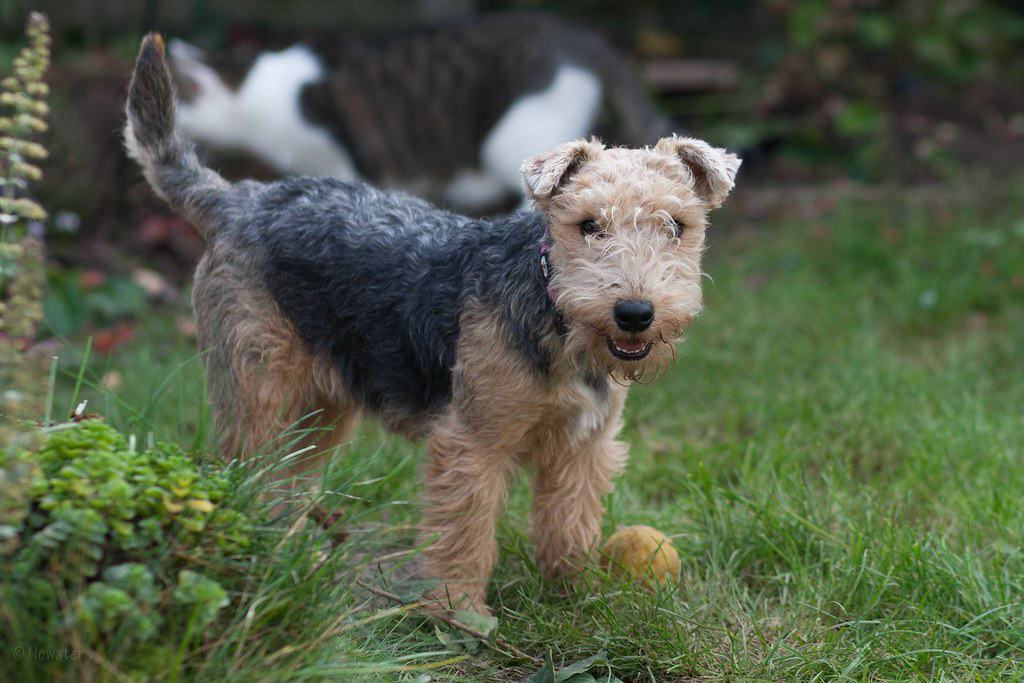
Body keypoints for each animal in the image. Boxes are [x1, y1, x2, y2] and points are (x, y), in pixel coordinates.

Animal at [125, 34, 737, 618]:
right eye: (588, 225)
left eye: (677, 225)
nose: (634, 313)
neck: (553, 314)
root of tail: (237, 199)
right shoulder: (473, 443)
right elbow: (465, 533)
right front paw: (459, 611)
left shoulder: (585, 446)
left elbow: (570, 526)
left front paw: (577, 597)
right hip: (258, 392)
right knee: (240, 476)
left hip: (318, 412)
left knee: (281, 484)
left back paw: (286, 554)